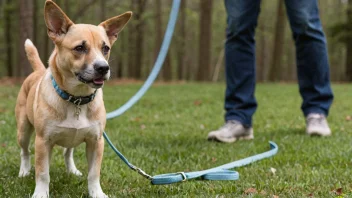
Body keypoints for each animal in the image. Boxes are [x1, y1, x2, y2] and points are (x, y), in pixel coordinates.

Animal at [15, 0, 132, 197]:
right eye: (80, 48)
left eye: (105, 48)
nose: (103, 68)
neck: (76, 99)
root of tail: (38, 71)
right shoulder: (42, 141)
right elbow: (42, 172)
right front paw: (41, 193)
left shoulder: (96, 142)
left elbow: (94, 173)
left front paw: (96, 193)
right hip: (23, 129)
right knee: (25, 151)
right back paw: (24, 171)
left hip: (73, 137)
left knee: (67, 153)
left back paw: (72, 170)